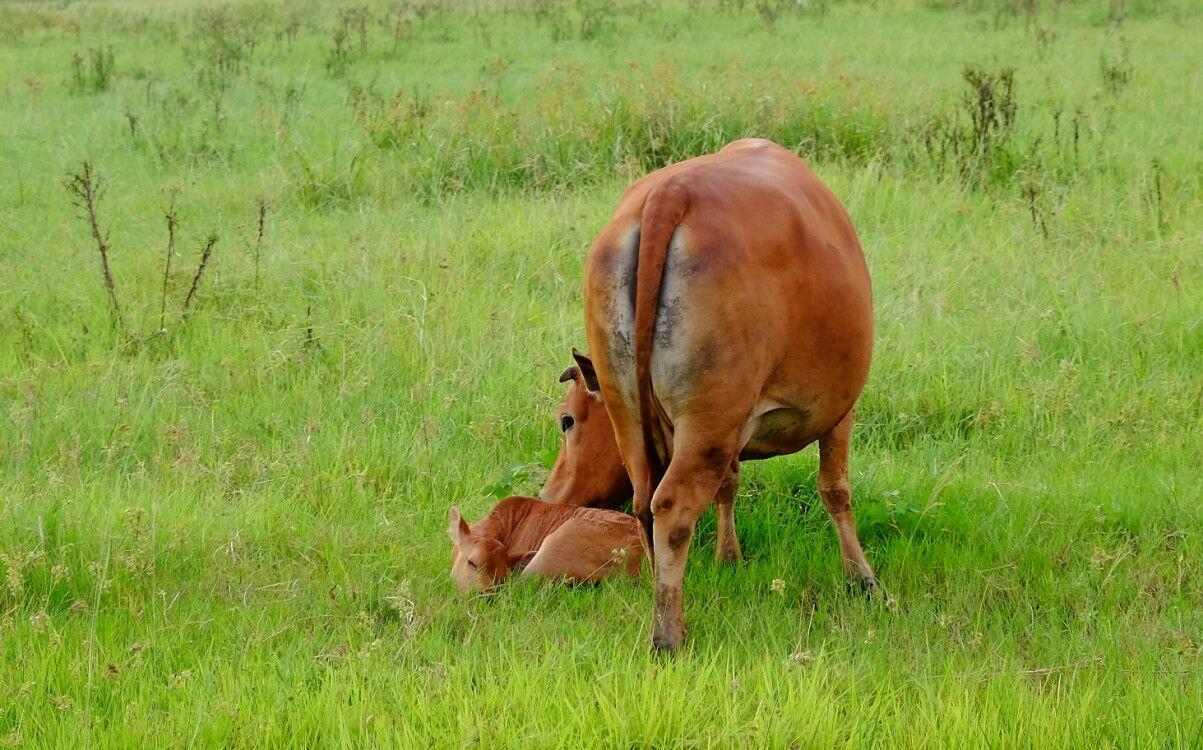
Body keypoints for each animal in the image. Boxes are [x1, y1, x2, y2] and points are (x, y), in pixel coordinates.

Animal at [543, 140, 875, 650]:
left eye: (568, 420)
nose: (547, 495)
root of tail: (670, 193)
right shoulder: (837, 410)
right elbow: (835, 489)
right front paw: (861, 578)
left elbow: (730, 485)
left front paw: (728, 558)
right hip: (709, 419)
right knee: (671, 507)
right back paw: (668, 637)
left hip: (637, 417)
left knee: (645, 505)